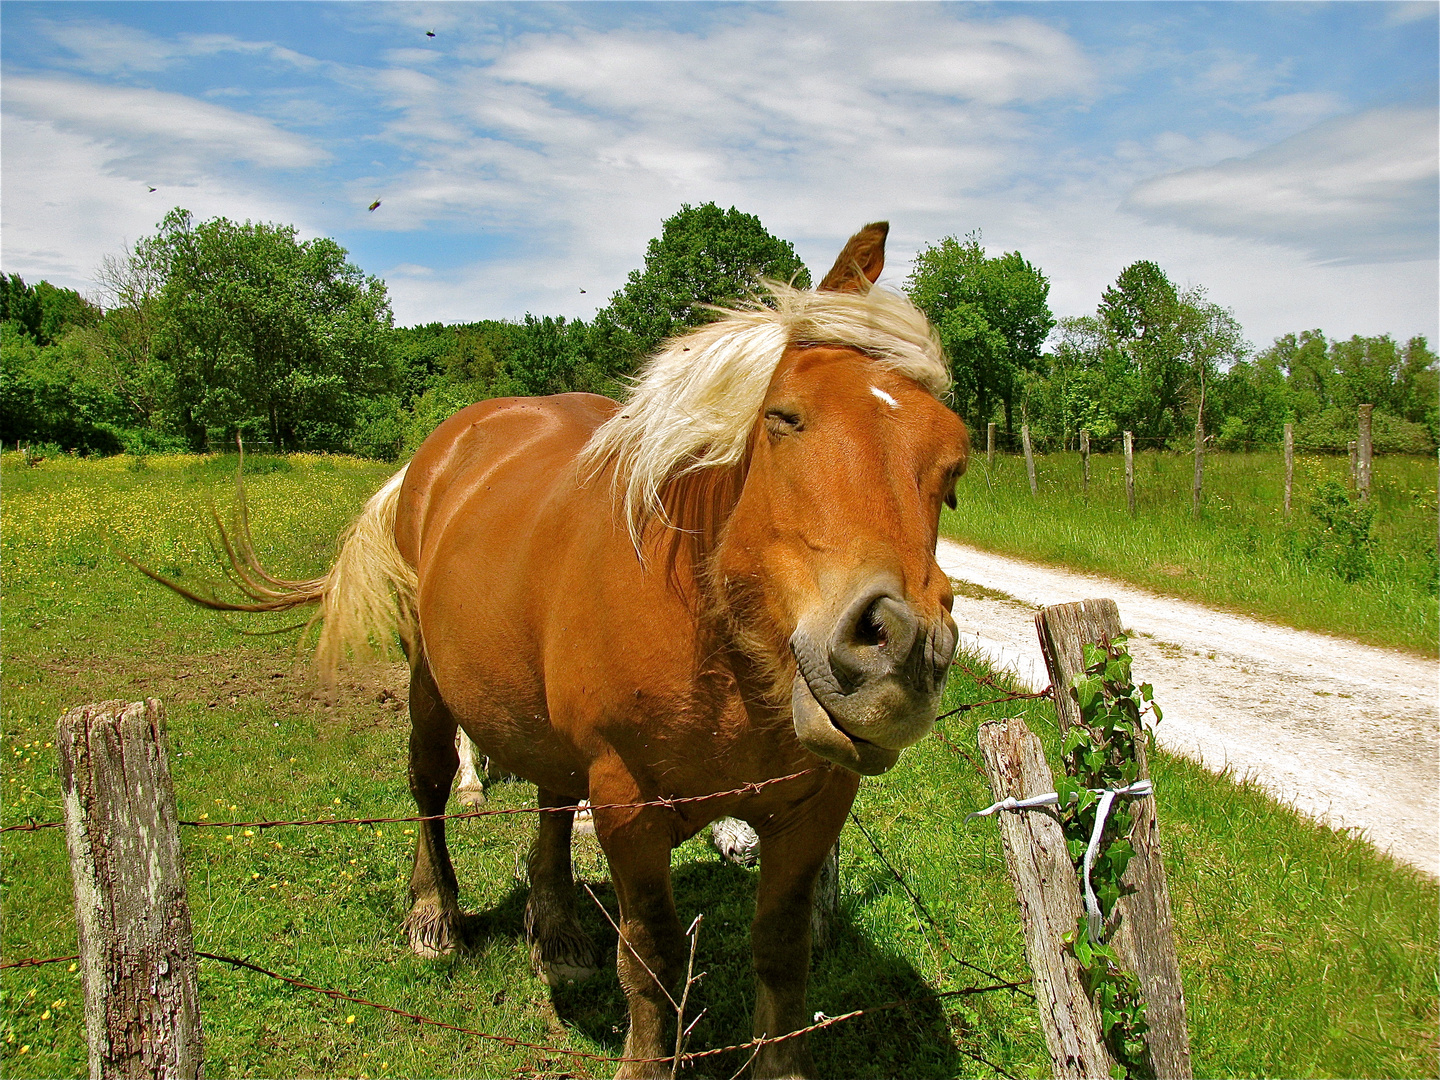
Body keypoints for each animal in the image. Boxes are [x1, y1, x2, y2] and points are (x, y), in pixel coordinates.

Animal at [149, 224, 967, 1077]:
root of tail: (437, 452)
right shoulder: (629, 805)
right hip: (429, 680)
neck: (721, 655)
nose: (898, 653)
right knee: (429, 781)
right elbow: (653, 956)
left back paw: (558, 927)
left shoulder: (812, 809)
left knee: (548, 794)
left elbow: (779, 953)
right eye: (785, 417)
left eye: (955, 466)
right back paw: (434, 915)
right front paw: (644, 1062)